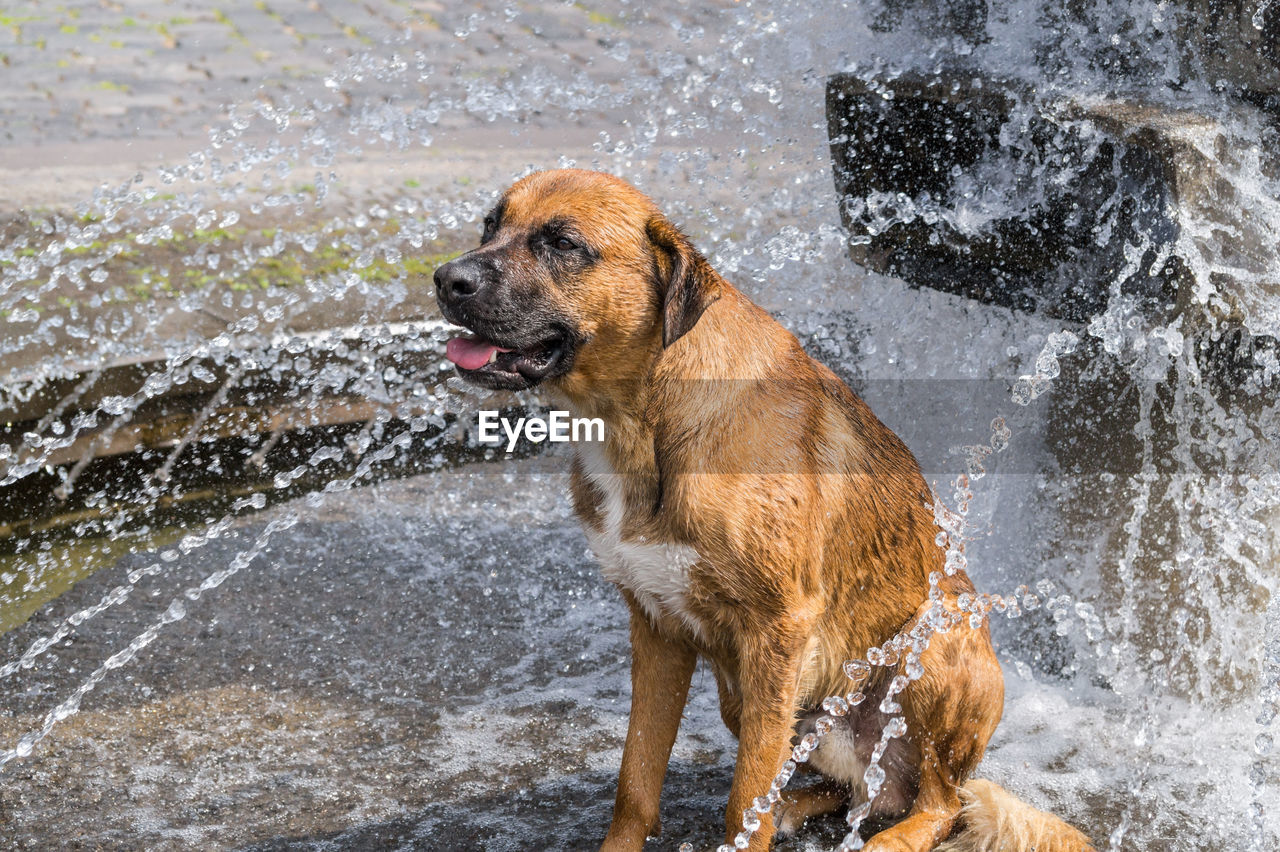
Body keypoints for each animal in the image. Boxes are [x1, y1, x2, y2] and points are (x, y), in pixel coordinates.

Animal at [432, 167, 1090, 849]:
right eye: (489, 226)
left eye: (563, 243)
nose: (446, 279)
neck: (641, 425)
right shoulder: (657, 628)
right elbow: (637, 781)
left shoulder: (777, 632)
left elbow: (744, 796)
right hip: (756, 701)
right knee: (856, 791)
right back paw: (802, 807)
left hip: (929, 650)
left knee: (936, 804)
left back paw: (887, 838)